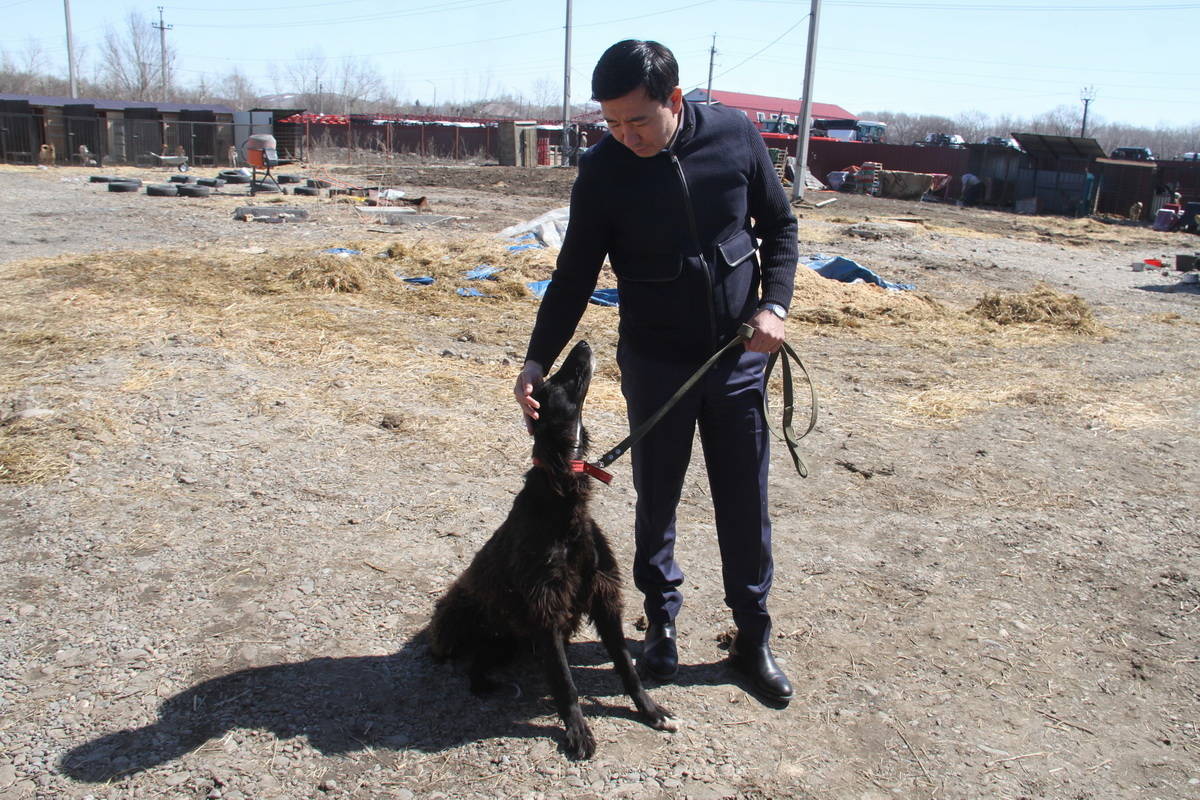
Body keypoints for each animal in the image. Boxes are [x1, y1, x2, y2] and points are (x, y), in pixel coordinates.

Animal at [429, 340, 676, 762]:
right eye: (552, 381)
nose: (583, 343)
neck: (561, 496)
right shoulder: (546, 607)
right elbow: (565, 682)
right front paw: (578, 732)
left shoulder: (603, 597)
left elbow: (627, 667)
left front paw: (651, 710)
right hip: (463, 613)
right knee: (475, 667)